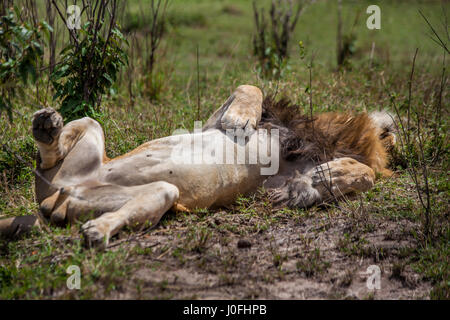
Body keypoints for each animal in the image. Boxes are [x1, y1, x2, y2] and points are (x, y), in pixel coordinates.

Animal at [0, 84, 394, 246]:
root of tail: (59, 197)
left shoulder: (273, 185)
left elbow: (369, 175)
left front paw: (327, 176)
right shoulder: (211, 122)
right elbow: (249, 86)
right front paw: (241, 119)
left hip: (141, 194)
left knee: (145, 200)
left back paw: (99, 230)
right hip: (81, 142)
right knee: (58, 148)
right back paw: (46, 125)